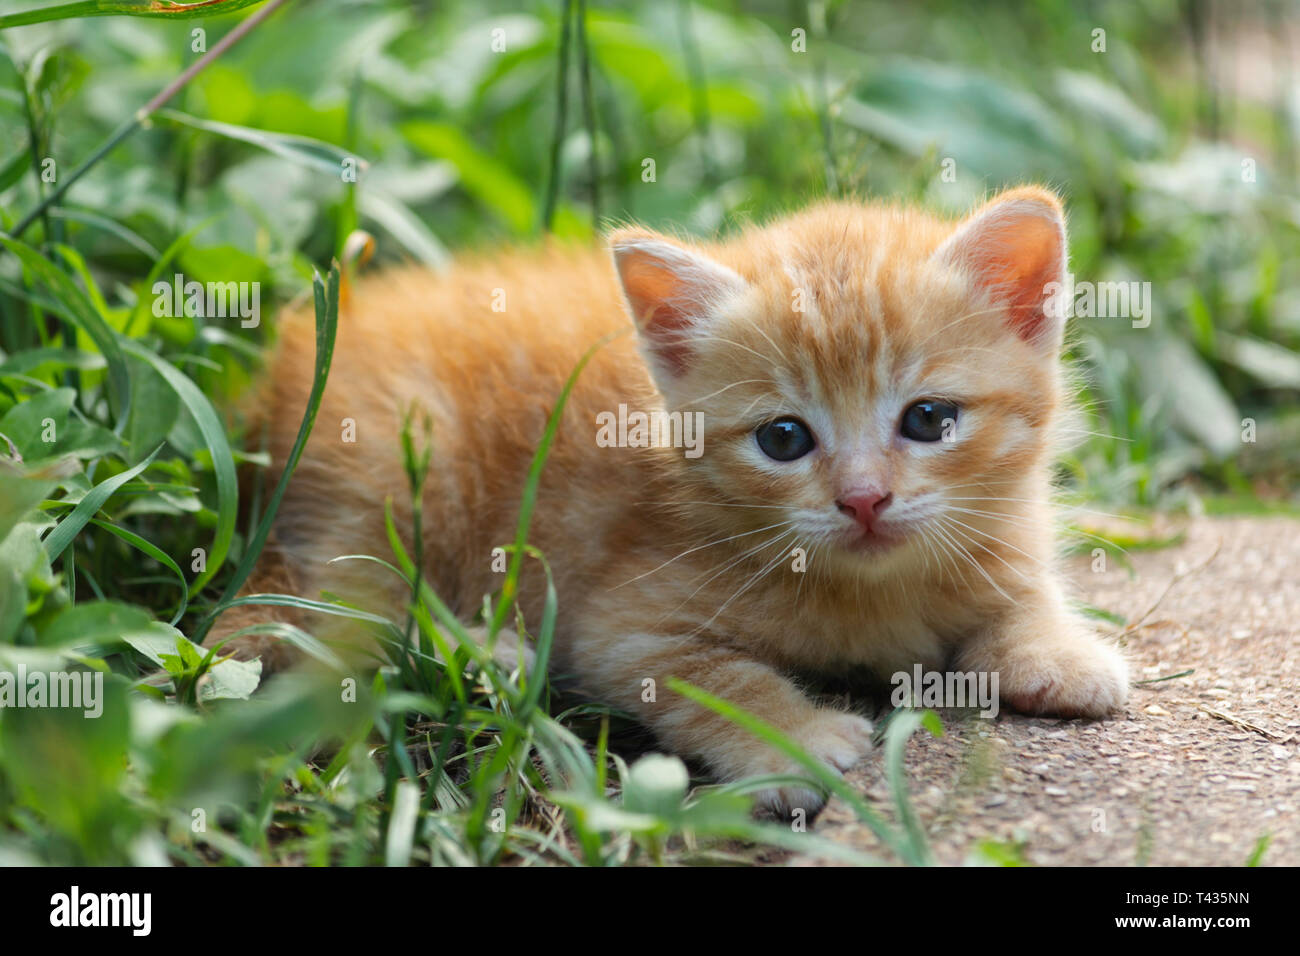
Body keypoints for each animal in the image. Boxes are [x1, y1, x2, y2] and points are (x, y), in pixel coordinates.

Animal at [210, 184, 1128, 806]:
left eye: (929, 419)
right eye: (783, 439)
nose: (864, 499)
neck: (870, 591)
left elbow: (1020, 595)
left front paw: (1057, 652)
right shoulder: (619, 626)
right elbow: (714, 678)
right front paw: (793, 738)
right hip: (398, 471)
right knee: (348, 616)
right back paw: (486, 651)